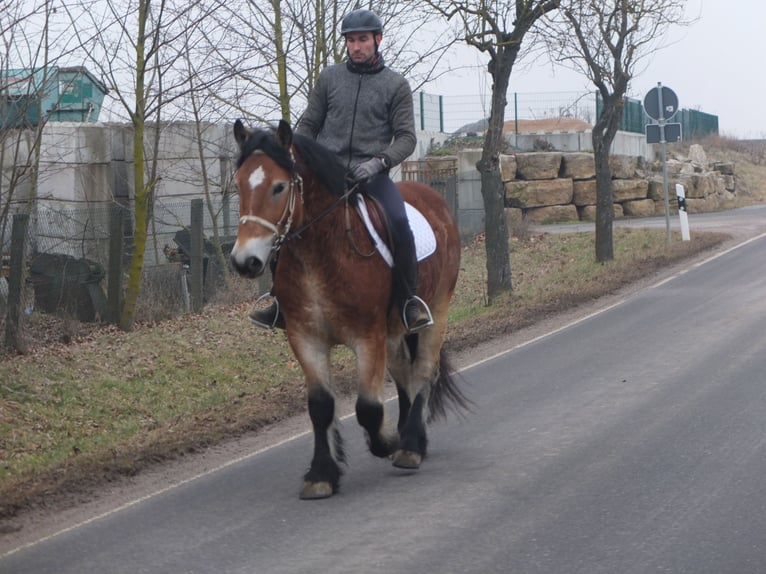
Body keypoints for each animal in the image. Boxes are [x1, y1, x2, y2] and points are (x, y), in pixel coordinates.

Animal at [230, 120, 468, 500]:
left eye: (279, 187)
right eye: (238, 184)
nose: (244, 261)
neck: (321, 253)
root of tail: (432, 196)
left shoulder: (367, 337)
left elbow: (368, 408)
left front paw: (387, 439)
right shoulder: (305, 338)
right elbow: (320, 406)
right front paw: (321, 474)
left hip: (437, 312)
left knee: (423, 371)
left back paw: (410, 444)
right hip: (394, 332)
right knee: (405, 373)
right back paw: (410, 435)